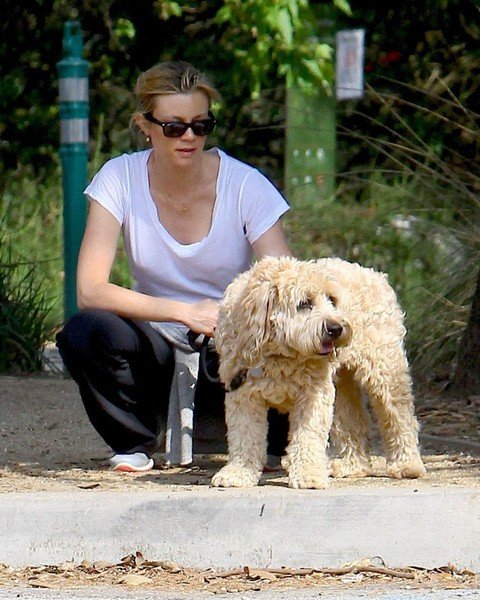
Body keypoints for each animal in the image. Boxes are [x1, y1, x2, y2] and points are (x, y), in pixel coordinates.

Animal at [212, 255, 426, 490]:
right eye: (304, 303)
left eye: (332, 299)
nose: (336, 328)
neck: (280, 354)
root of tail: (375, 275)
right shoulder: (242, 395)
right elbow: (244, 435)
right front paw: (238, 473)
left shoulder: (312, 395)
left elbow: (308, 436)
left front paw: (308, 474)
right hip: (344, 384)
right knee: (353, 420)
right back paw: (351, 465)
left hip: (384, 371)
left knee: (399, 416)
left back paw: (408, 464)